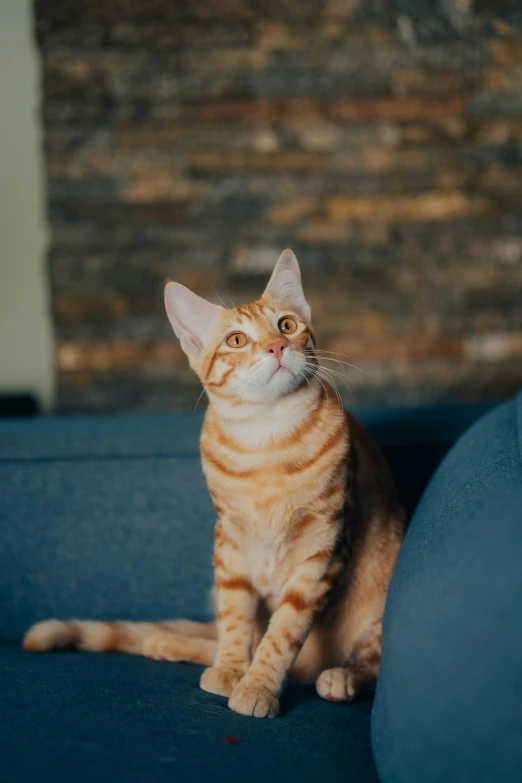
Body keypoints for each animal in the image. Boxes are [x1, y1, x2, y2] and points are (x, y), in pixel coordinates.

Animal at [23, 250, 402, 716]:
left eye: (287, 325)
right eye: (236, 340)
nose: (276, 347)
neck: (268, 439)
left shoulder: (322, 549)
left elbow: (282, 634)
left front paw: (258, 686)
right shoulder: (230, 543)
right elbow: (235, 618)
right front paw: (231, 669)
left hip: (377, 603)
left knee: (367, 660)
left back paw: (342, 676)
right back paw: (170, 643)